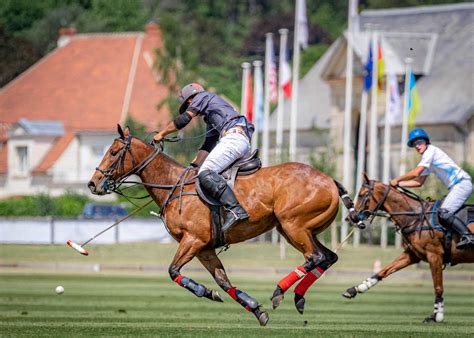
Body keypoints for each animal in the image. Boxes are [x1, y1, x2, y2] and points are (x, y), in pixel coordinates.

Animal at [88, 125, 356, 326]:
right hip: (298, 229)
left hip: (293, 224)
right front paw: (254, 308)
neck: (174, 185)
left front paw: (203, 292)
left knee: (314, 257)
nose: (93, 183)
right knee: (328, 257)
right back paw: (298, 297)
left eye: (114, 152)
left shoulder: (193, 240)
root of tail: (330, 180)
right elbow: (223, 281)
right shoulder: (205, 248)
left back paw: (279, 292)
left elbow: (173, 271)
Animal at [342, 176, 472, 324]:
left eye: (362, 194)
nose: (350, 218)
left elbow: (438, 287)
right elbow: (384, 270)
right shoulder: (413, 255)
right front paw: (356, 289)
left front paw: (437, 315)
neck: (415, 217)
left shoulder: (434, 255)